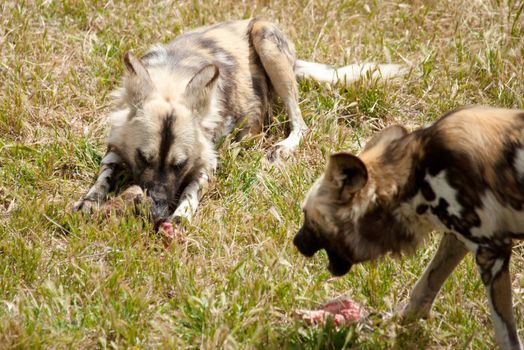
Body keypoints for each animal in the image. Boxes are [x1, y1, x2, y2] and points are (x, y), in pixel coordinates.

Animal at [72, 18, 402, 227]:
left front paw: (181, 216)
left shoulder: (209, 159)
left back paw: (280, 147)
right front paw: (90, 201)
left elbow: (192, 191)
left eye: (180, 164)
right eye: (143, 158)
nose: (156, 211)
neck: (173, 78)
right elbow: (103, 175)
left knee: (300, 123)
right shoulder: (116, 146)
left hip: (266, 39)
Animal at [294, 106, 524, 350]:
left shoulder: (491, 249)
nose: (296, 242)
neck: (414, 178)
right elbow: (423, 290)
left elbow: (506, 335)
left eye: (307, 215)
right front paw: (391, 323)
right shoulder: (458, 238)